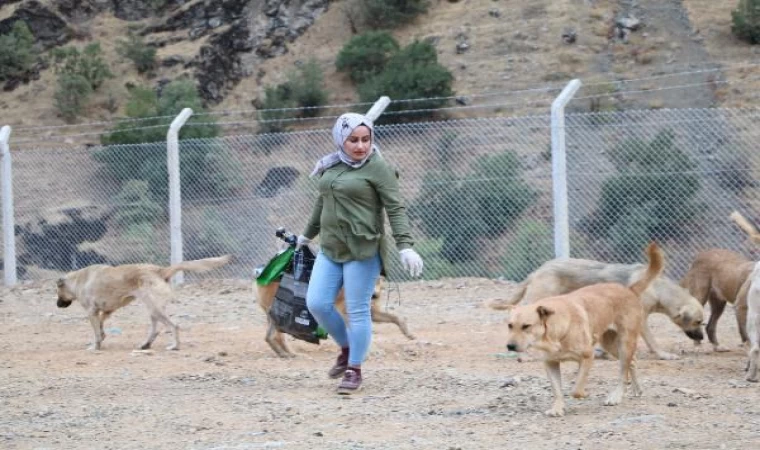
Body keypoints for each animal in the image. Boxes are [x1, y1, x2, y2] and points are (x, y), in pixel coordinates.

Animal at [56, 256, 230, 352]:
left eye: (57, 292)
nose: (57, 305)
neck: (77, 280)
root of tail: (160, 270)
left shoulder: (91, 312)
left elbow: (97, 333)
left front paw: (95, 346)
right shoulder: (106, 311)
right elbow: (101, 326)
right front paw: (103, 337)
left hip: (154, 308)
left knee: (174, 326)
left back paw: (174, 346)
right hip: (154, 309)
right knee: (156, 329)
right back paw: (145, 345)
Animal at [255, 274, 416, 358]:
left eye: (379, 281)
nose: (374, 296)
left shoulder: (373, 313)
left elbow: (397, 318)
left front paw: (409, 334)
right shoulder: (349, 316)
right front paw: (373, 350)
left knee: (269, 337)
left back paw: (287, 354)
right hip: (281, 318)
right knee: (275, 336)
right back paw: (289, 354)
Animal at [490, 255, 704, 360]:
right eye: (698, 322)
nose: (702, 338)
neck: (659, 289)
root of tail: (538, 270)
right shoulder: (640, 319)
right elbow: (652, 341)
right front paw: (663, 355)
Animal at [508, 243, 664, 418]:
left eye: (526, 326)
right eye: (509, 325)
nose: (510, 346)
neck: (556, 332)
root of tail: (629, 290)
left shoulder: (588, 356)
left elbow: (576, 389)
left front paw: (584, 394)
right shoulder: (551, 363)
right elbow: (557, 390)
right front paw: (557, 408)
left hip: (625, 343)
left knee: (623, 372)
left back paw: (616, 396)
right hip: (611, 345)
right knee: (633, 361)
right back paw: (637, 389)